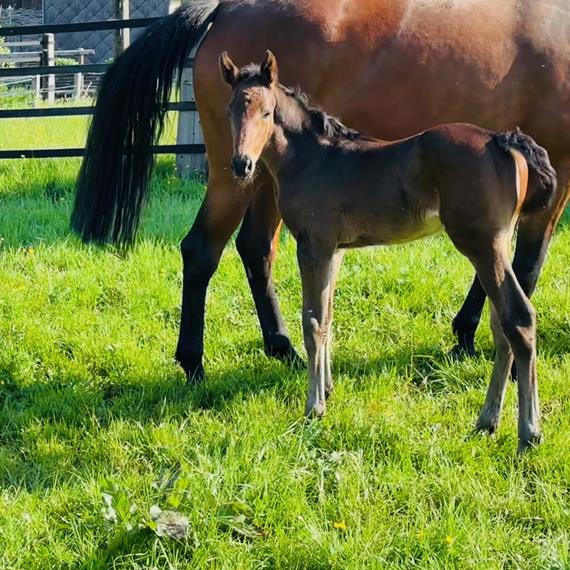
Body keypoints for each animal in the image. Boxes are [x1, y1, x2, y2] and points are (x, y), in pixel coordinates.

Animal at [222, 52, 556, 452]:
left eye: (267, 113)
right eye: (229, 111)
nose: (241, 165)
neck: (313, 159)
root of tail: (499, 140)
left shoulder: (313, 245)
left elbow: (312, 321)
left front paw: (313, 407)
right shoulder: (335, 250)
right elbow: (329, 316)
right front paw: (328, 389)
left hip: (482, 245)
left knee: (518, 318)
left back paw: (529, 433)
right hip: (497, 246)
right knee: (501, 324)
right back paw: (486, 423)